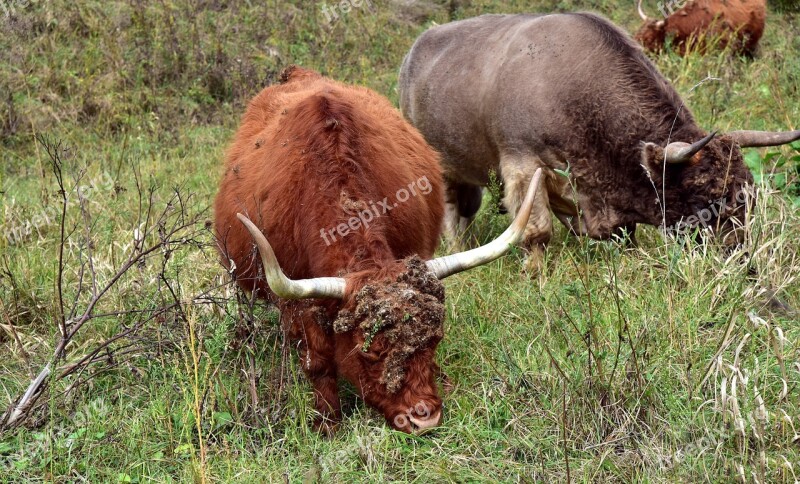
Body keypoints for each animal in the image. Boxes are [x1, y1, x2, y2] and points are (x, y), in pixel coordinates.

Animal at [214, 66, 544, 432]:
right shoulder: (296, 301)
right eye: (369, 351)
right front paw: (327, 423)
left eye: (434, 340)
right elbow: (317, 361)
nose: (425, 419)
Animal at [400, 12, 800, 272]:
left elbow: (623, 234)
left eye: (747, 197)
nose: (739, 259)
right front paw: (536, 278)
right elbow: (536, 231)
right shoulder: (522, 166)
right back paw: (457, 247)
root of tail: (414, 52)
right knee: (454, 211)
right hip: (443, 169)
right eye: (704, 195)